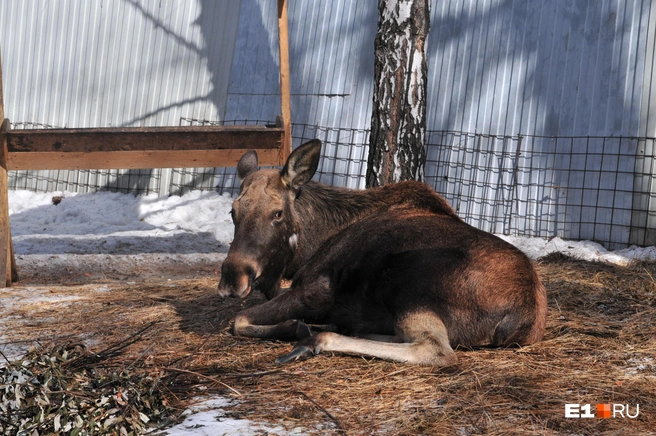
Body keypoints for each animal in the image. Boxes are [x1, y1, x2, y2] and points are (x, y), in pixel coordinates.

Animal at [218, 140, 544, 364]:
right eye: (233, 211)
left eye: (277, 213)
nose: (233, 278)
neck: (310, 243)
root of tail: (524, 317)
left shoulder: (317, 290)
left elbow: (239, 320)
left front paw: (298, 327)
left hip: (409, 286)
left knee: (436, 349)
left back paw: (318, 338)